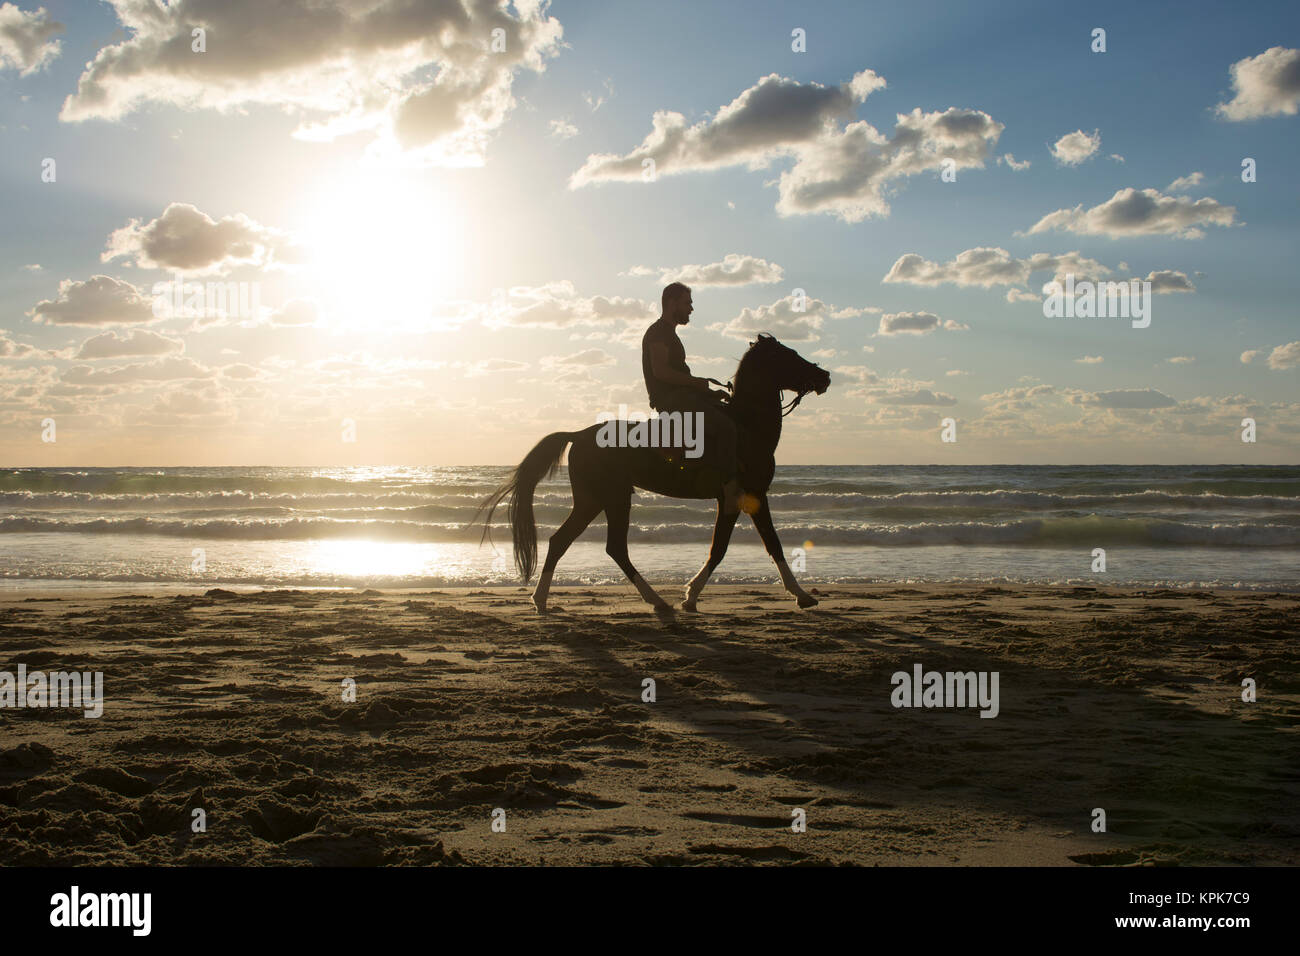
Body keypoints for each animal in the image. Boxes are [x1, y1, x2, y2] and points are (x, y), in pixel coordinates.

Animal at [479, 333, 831, 616]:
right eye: (789, 355)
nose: (824, 375)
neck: (747, 427)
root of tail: (579, 434)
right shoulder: (745, 496)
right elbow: (748, 546)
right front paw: (799, 596)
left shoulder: (742, 498)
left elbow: (747, 546)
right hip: (613, 498)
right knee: (613, 548)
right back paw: (656, 600)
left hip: (593, 501)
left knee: (561, 541)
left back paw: (541, 600)